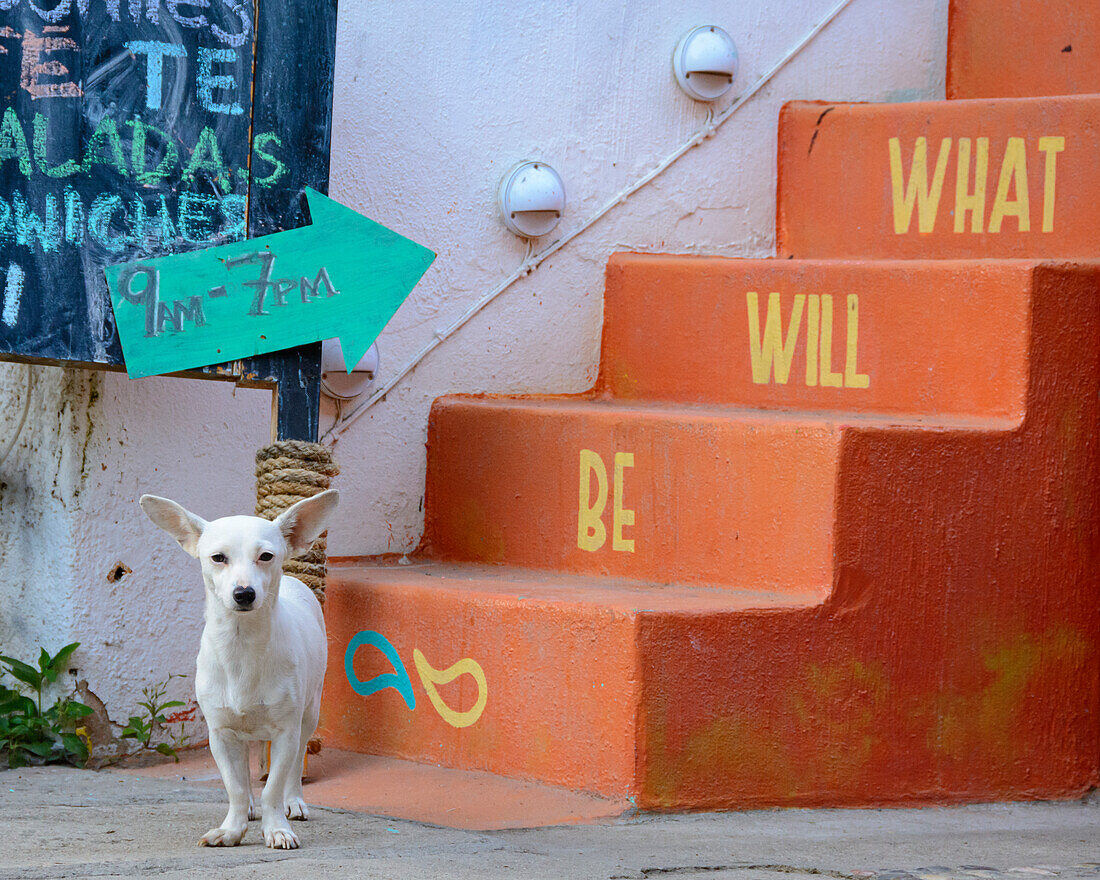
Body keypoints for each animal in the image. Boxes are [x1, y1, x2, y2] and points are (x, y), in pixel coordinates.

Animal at [141, 490, 338, 849]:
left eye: (266, 556)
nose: (244, 593)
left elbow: (273, 786)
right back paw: (247, 806)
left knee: (295, 764)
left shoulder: (286, 733)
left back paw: (294, 801)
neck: (242, 646)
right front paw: (232, 828)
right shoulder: (220, 734)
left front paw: (277, 828)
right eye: (218, 558)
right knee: (244, 771)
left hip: (310, 712)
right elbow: (233, 785)